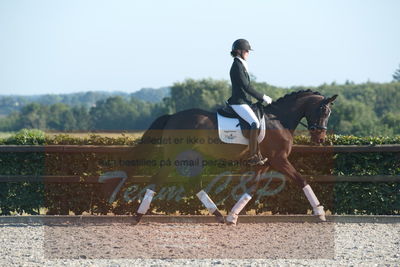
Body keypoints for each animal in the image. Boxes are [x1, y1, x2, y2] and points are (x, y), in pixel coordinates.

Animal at [131, 90, 338, 226]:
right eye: (323, 111)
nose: (320, 139)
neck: (279, 119)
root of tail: (173, 116)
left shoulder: (265, 163)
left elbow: (252, 187)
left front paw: (232, 216)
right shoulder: (279, 159)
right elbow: (301, 180)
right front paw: (319, 212)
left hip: (193, 157)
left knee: (194, 184)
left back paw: (219, 215)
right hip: (175, 157)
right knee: (158, 179)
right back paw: (138, 216)